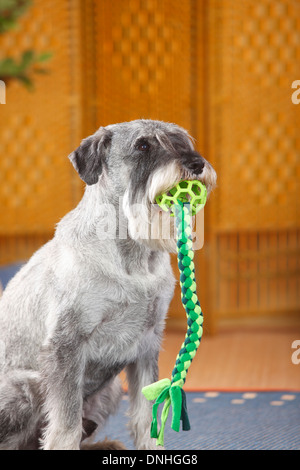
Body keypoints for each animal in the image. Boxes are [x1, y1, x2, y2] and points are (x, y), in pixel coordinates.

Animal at [0, 119, 217, 450]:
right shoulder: (66, 345)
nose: (196, 163)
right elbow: (65, 424)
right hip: (25, 387)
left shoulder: (147, 343)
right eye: (143, 145)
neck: (132, 258)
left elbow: (145, 416)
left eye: (182, 141)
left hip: (111, 388)